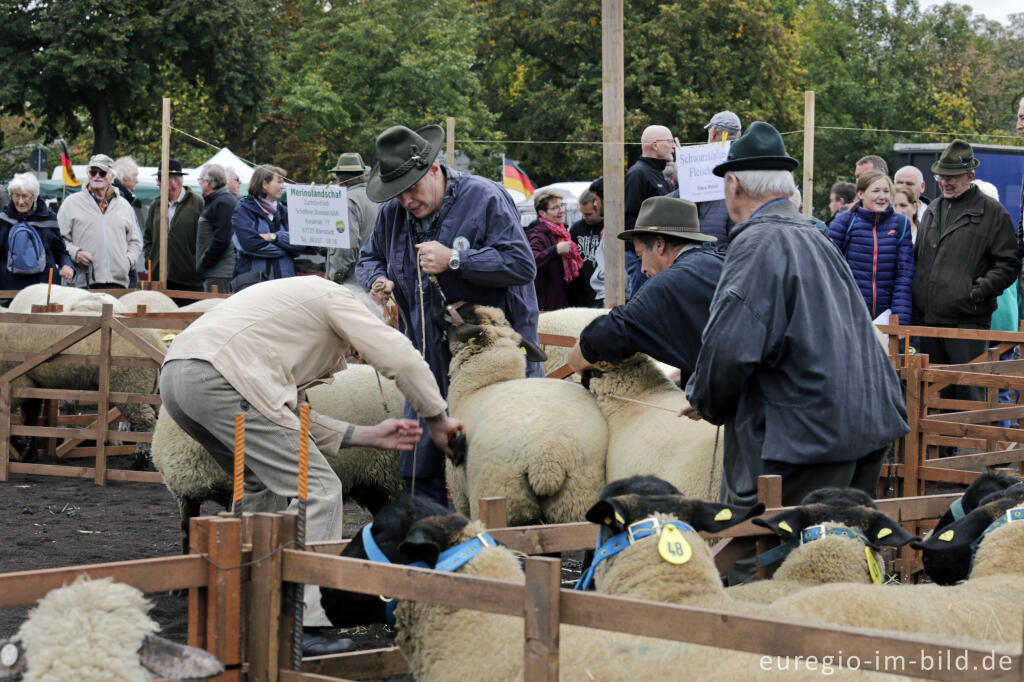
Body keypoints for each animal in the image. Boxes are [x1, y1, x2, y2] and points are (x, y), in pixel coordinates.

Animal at [442, 303, 606, 524]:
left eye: (467, 315)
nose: (443, 307)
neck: (481, 385)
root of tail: (548, 457)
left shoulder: (460, 494)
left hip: (504, 497)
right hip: (578, 502)